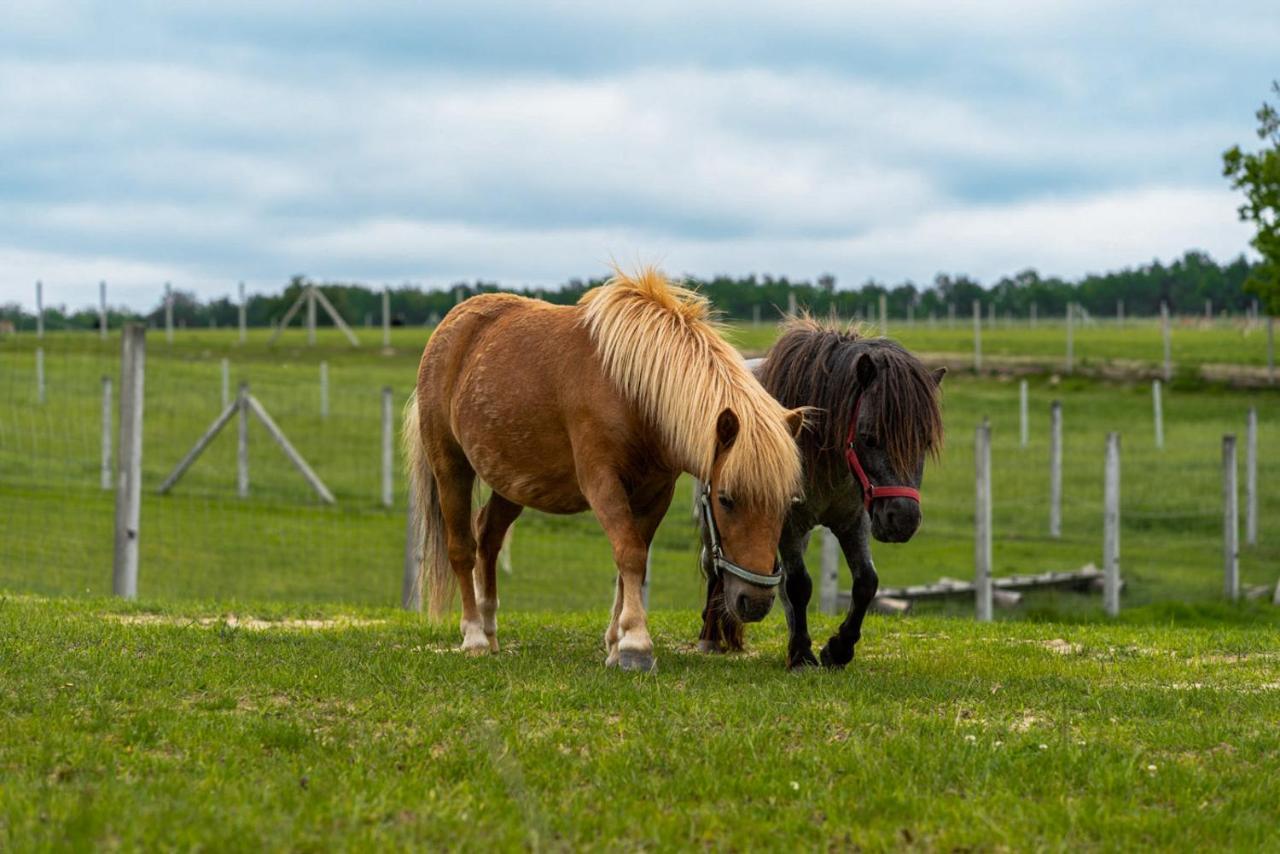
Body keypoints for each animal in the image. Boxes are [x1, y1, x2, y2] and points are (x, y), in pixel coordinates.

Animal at [401, 270, 798, 670]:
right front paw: (636, 644)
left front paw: (616, 644)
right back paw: (474, 636)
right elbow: (630, 554)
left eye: (787, 503)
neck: (633, 391)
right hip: (451, 467)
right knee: (462, 548)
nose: (756, 601)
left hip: (512, 481)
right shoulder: (602, 482)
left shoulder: (655, 493)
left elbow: (633, 562)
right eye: (726, 499)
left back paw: (490, 629)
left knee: (488, 536)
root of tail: (450, 326)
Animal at [696, 317, 947, 670]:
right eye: (869, 437)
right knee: (714, 563)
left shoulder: (854, 522)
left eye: (924, 442)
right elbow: (799, 585)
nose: (903, 521)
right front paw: (802, 654)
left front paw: (837, 650)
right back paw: (711, 635)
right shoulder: (788, 524)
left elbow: (866, 582)